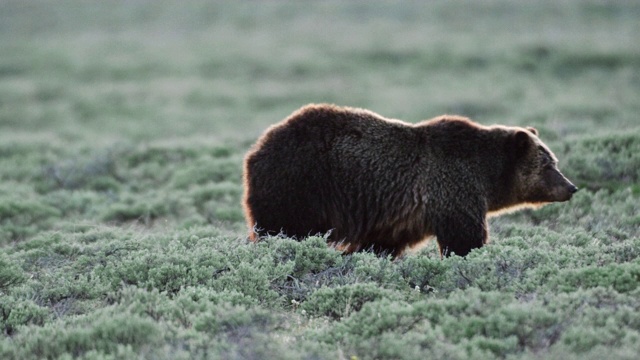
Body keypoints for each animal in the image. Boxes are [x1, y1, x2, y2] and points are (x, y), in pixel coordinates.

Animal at [241, 102, 580, 258]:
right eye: (548, 164)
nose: (571, 187)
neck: (487, 174)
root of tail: (257, 147)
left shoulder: (395, 218)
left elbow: (379, 244)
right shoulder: (453, 188)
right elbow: (464, 238)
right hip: (300, 183)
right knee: (284, 228)